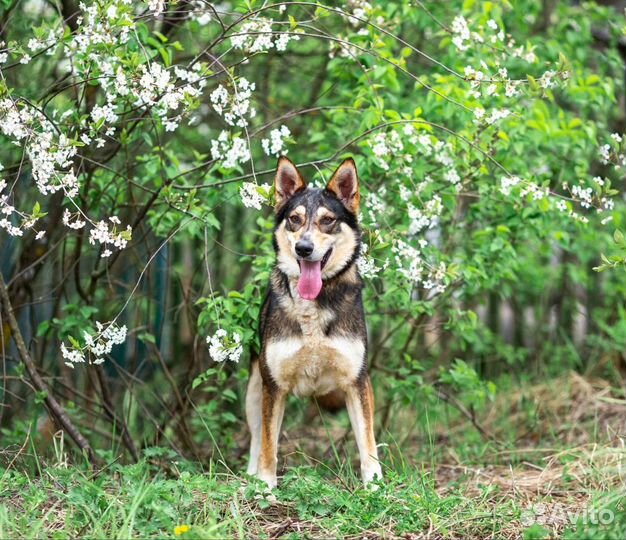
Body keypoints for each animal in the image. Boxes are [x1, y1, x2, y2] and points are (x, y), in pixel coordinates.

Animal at [244, 154, 380, 488]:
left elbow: (367, 442)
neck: (313, 308)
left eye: (327, 220)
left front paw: (376, 485)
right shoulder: (274, 386)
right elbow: (268, 445)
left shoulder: (357, 382)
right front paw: (265, 487)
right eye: (294, 219)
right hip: (254, 392)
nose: (303, 248)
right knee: (256, 440)